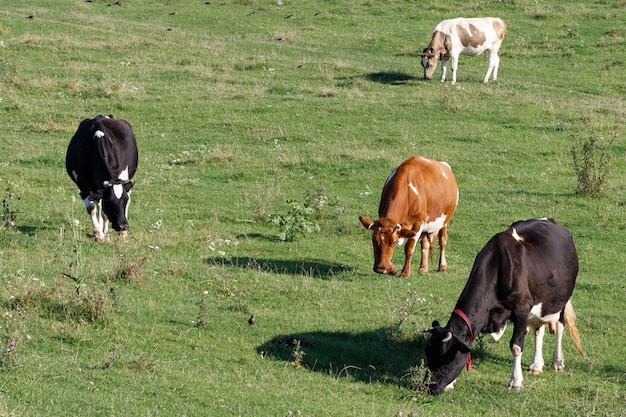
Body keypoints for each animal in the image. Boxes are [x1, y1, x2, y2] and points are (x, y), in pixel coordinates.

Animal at [422, 218, 584, 394]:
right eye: (428, 355)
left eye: (446, 359)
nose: (429, 387)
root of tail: (551, 221)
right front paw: (451, 383)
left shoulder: (522, 308)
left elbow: (516, 346)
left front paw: (516, 382)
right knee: (538, 330)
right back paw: (536, 365)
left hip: (562, 298)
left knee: (560, 326)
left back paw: (557, 362)